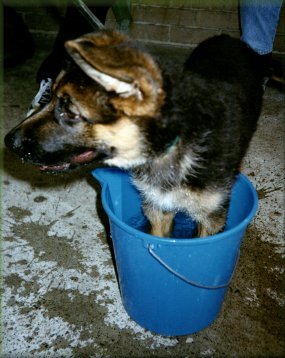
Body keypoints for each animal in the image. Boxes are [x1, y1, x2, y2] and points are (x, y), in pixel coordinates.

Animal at [5, 31, 262, 238]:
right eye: (49, 97)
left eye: (70, 113)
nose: (9, 142)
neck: (173, 143)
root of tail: (228, 38)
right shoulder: (158, 208)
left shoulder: (211, 220)